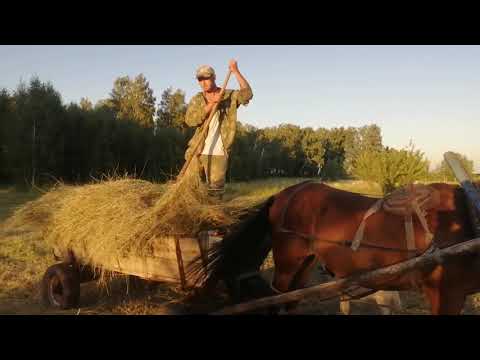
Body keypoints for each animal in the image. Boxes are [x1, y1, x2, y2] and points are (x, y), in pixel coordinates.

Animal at [189, 181, 480, 314]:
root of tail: (283, 194)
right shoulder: (445, 294)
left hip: (306, 263)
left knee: (291, 299)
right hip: (287, 261)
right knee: (275, 297)